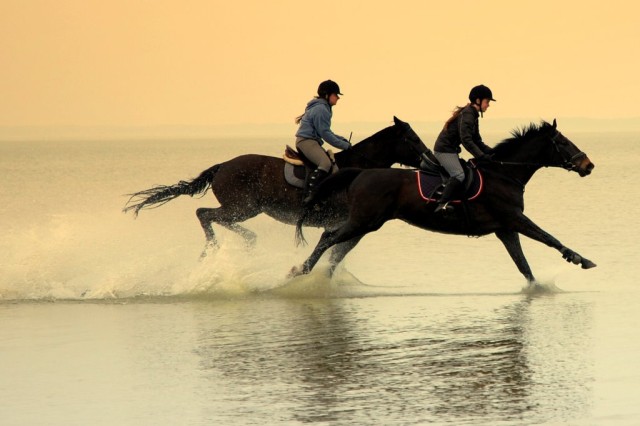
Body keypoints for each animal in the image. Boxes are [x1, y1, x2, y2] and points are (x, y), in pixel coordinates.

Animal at [122, 116, 428, 255]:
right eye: (412, 138)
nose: (430, 160)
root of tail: (223, 165)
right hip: (242, 207)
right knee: (205, 214)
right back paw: (213, 247)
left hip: (243, 209)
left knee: (213, 217)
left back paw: (245, 241)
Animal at [290, 119, 596, 286]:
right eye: (564, 143)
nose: (588, 165)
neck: (504, 173)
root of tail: (361, 172)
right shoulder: (513, 218)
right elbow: (549, 237)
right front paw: (580, 259)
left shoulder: (505, 229)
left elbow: (523, 265)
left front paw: (537, 288)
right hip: (362, 221)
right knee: (329, 239)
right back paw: (298, 271)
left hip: (366, 223)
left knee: (334, 244)